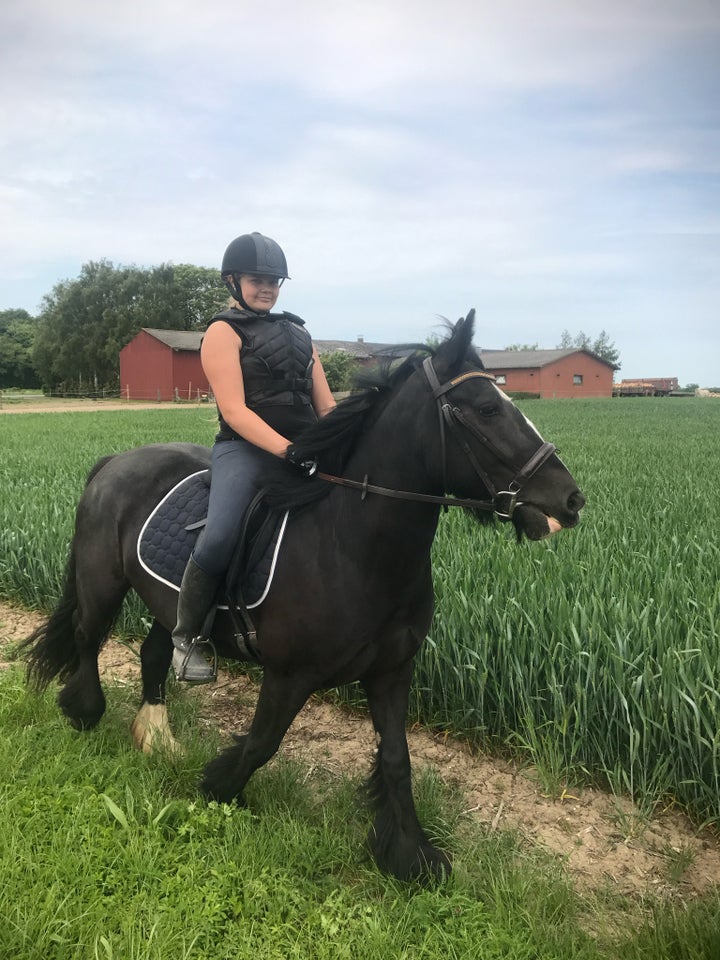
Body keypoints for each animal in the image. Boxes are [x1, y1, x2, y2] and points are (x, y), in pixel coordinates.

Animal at [23, 312, 584, 880]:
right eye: (488, 409)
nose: (571, 500)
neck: (352, 547)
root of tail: (116, 460)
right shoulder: (289, 675)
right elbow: (261, 744)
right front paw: (217, 787)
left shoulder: (391, 671)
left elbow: (397, 759)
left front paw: (409, 855)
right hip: (102, 583)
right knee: (87, 638)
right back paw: (83, 711)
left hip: (168, 605)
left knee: (156, 651)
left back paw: (157, 738)